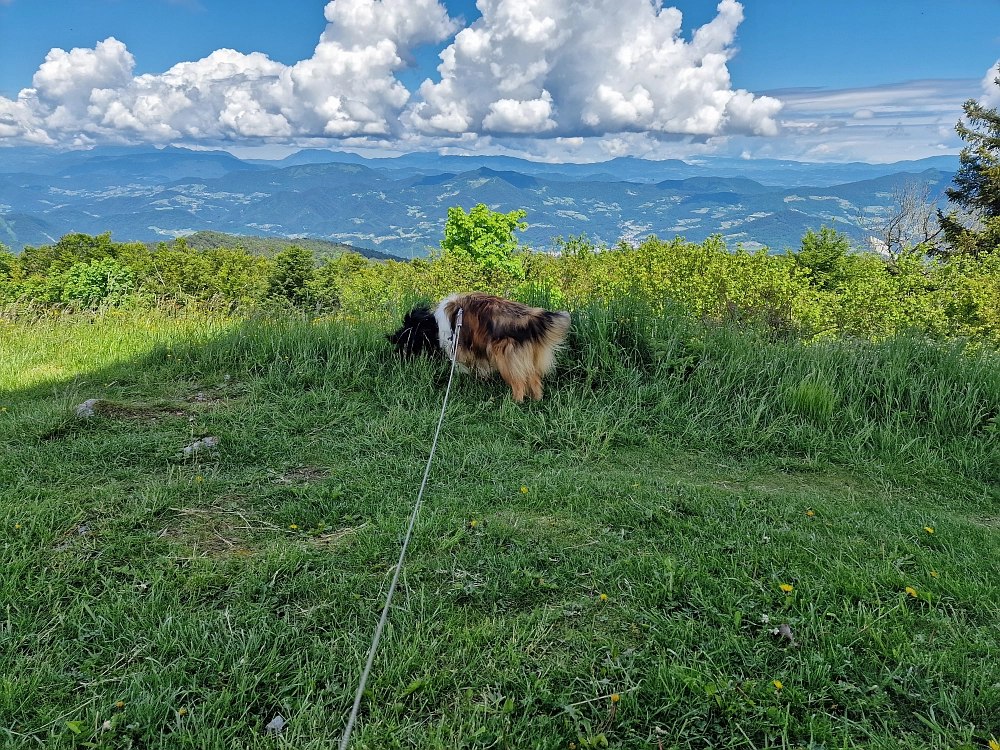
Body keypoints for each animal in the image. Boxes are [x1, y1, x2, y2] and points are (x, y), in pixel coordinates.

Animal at [386, 292, 572, 402]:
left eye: (405, 342)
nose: (395, 356)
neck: (432, 325)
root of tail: (530, 317)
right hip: (527, 357)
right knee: (534, 380)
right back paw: (536, 400)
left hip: (506, 358)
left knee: (519, 384)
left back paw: (514, 403)